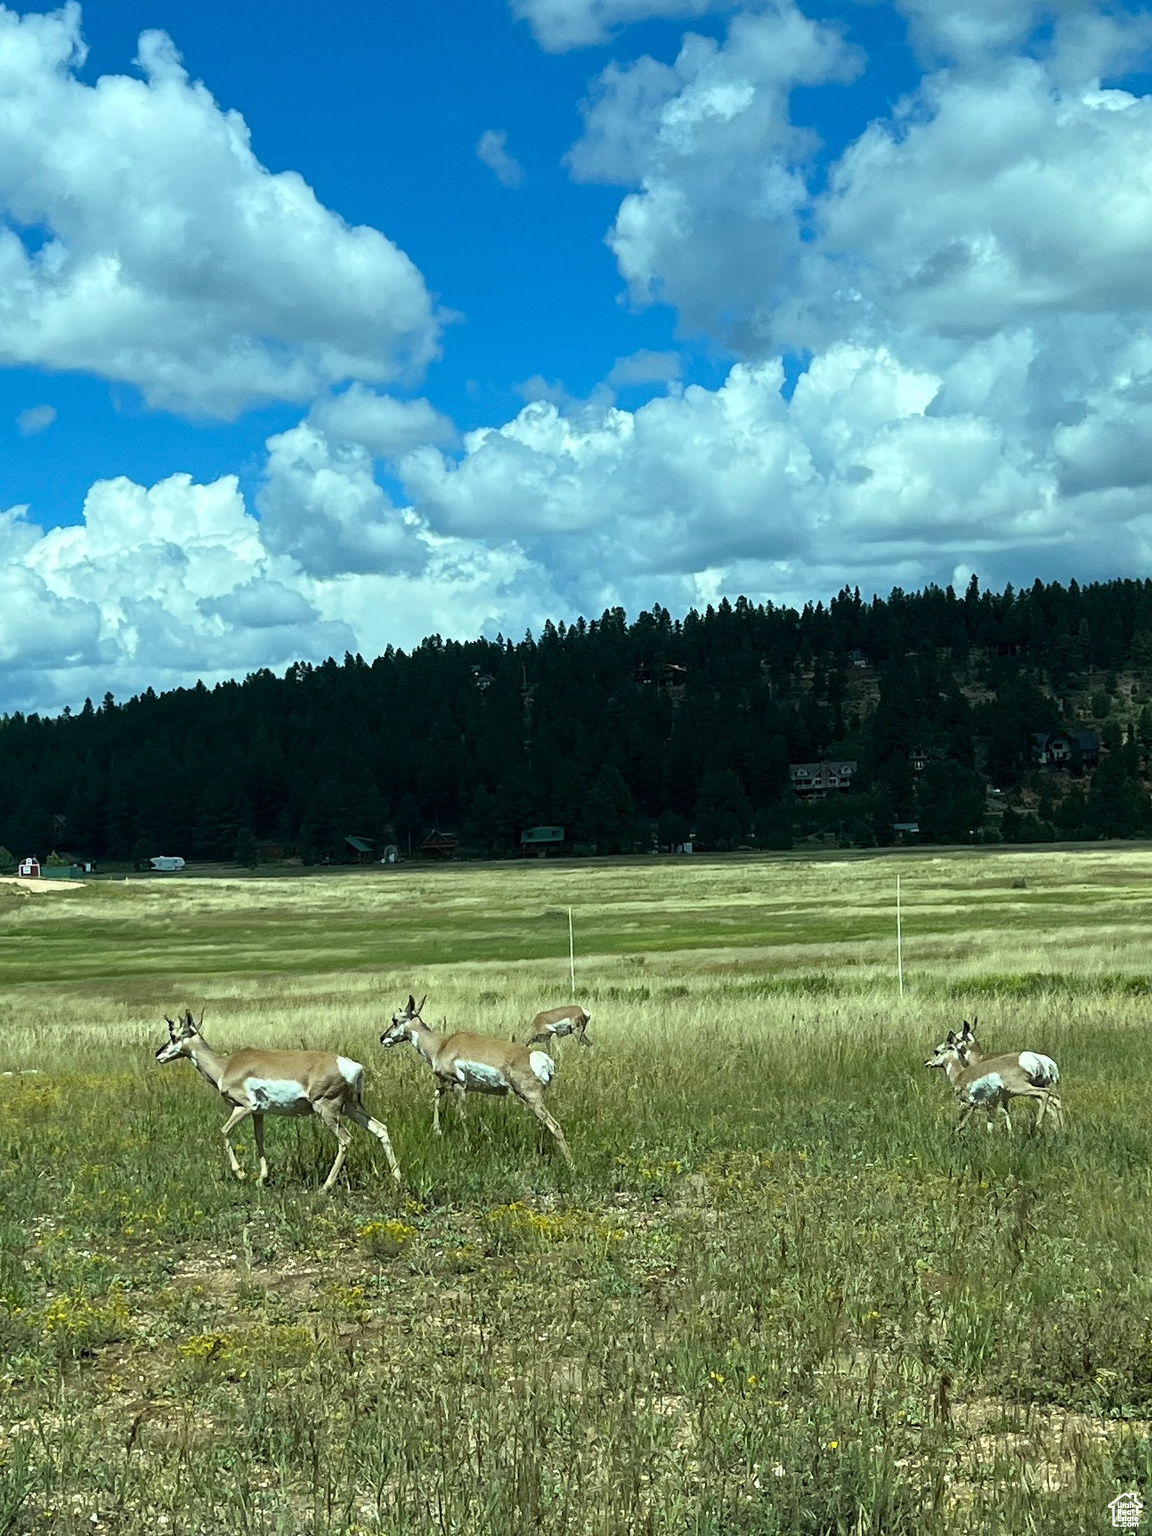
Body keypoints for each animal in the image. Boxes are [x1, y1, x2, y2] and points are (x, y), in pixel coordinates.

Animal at [158, 1013, 402, 1191]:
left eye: (173, 1035)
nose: (157, 1054)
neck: (226, 1065)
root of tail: (353, 1066)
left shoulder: (243, 1107)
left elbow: (224, 1132)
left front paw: (242, 1173)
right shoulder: (258, 1113)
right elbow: (259, 1139)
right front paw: (261, 1178)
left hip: (328, 1110)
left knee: (346, 1140)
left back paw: (325, 1187)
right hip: (352, 1107)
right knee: (381, 1129)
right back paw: (397, 1178)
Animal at [380, 995, 574, 1161]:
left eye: (395, 1019)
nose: (382, 1038)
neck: (441, 1045)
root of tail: (541, 1058)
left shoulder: (459, 1086)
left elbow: (463, 1115)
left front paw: (466, 1145)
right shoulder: (446, 1083)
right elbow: (435, 1096)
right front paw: (437, 1130)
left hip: (530, 1097)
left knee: (554, 1126)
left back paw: (570, 1164)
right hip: (531, 1099)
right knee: (544, 1124)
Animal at [927, 1026, 1069, 1136]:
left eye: (936, 1051)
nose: (926, 1062)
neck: (960, 1073)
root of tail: (1038, 1059)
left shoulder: (969, 1104)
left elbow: (961, 1124)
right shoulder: (995, 1104)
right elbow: (996, 1122)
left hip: (1022, 1088)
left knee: (1045, 1094)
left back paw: (1038, 1125)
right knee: (1055, 1098)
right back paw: (1060, 1130)